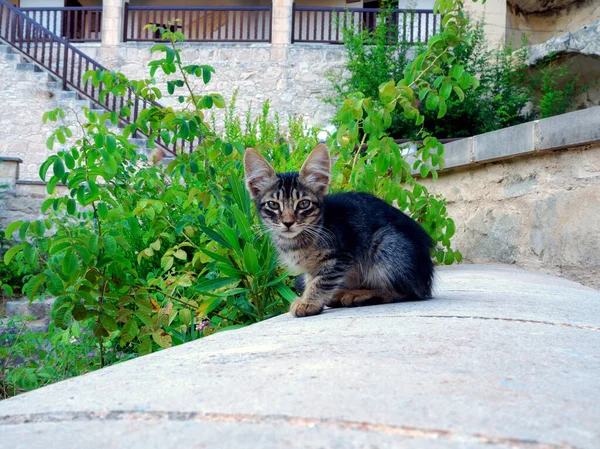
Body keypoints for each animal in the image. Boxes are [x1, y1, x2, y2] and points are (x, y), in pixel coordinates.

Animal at [244, 145, 436, 316]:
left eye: (304, 204)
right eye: (273, 205)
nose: (288, 222)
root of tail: (425, 278)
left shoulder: (339, 257)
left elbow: (321, 281)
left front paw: (309, 302)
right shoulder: (313, 267)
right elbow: (310, 280)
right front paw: (310, 298)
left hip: (386, 244)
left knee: (405, 292)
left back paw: (359, 295)